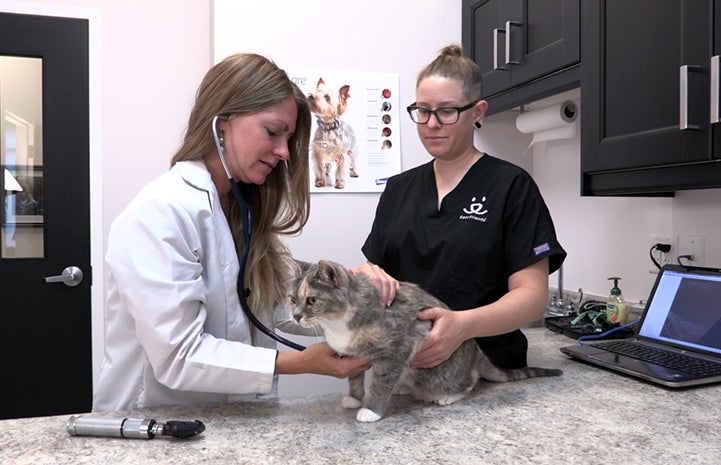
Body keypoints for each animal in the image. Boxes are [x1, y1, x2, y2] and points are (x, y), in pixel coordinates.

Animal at [288, 260, 564, 422]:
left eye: (312, 300)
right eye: (292, 299)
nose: (296, 315)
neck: (337, 325)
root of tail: (476, 350)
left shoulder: (396, 349)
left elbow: (381, 382)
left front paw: (370, 410)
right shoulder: (352, 355)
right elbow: (354, 378)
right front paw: (355, 398)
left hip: (433, 370)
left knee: (469, 380)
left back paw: (448, 395)